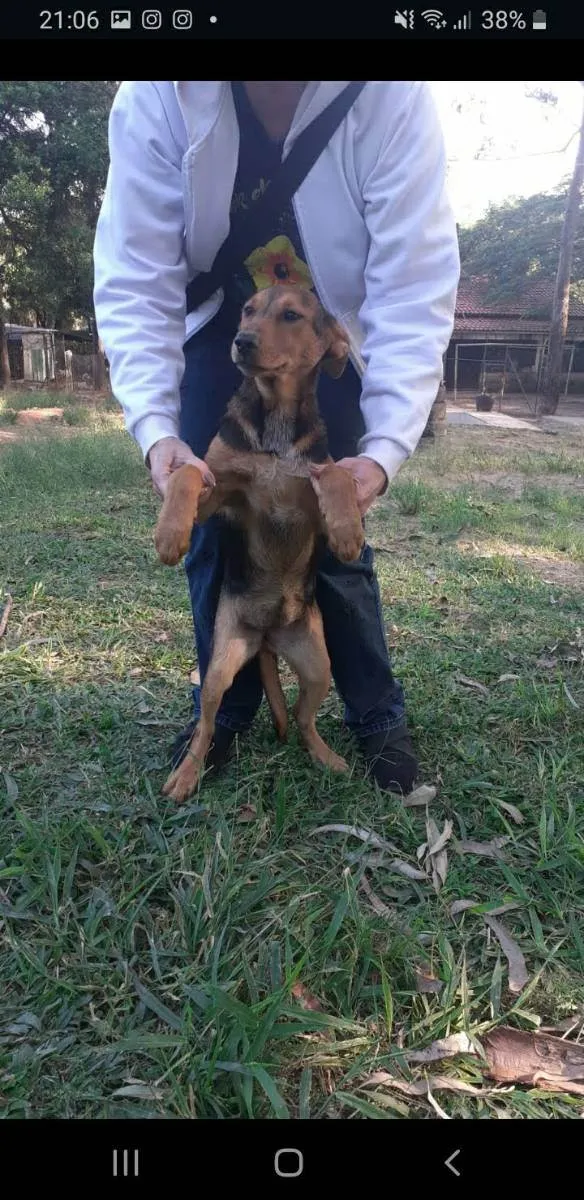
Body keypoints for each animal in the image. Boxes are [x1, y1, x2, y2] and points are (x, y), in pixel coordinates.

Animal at [155, 285, 364, 801]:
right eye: (247, 310)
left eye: (291, 316)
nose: (242, 342)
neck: (276, 420)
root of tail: (268, 634)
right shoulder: (219, 493)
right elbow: (187, 472)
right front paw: (169, 533)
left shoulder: (313, 500)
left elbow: (335, 473)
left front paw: (349, 530)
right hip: (219, 668)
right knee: (207, 725)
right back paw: (186, 775)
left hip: (318, 665)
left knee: (305, 721)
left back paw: (326, 757)